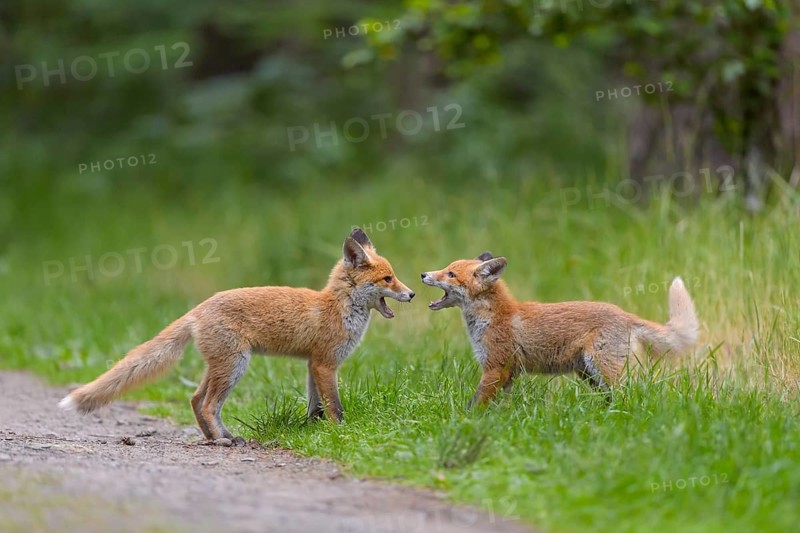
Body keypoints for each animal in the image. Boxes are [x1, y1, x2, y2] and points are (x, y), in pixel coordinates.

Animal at [59, 228, 415, 444]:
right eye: (388, 279)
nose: (411, 294)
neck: (338, 308)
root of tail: (197, 309)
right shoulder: (326, 364)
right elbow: (335, 407)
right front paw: (339, 433)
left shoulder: (313, 364)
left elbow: (315, 405)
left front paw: (312, 430)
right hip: (235, 366)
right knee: (207, 405)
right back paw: (224, 439)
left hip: (221, 366)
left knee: (195, 399)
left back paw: (215, 437)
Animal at [421, 253, 699, 406]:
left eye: (450, 274)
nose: (424, 274)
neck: (495, 317)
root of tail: (625, 314)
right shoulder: (507, 373)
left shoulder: (495, 368)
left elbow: (475, 403)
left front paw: (465, 419)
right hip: (589, 375)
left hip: (603, 370)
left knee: (631, 394)